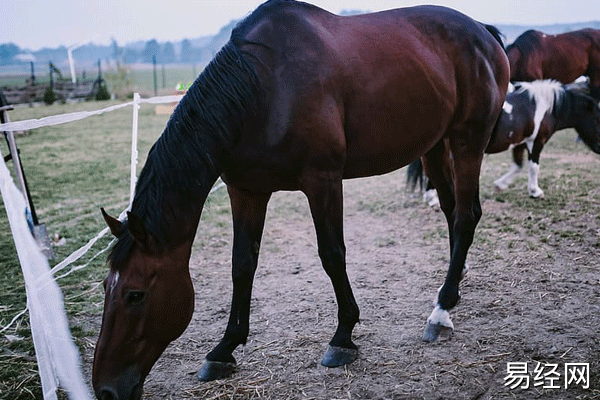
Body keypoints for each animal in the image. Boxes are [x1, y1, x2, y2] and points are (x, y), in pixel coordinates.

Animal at [91, 1, 508, 398]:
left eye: (135, 294)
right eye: (105, 288)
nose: (106, 389)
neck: (264, 87)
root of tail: (483, 33)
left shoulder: (322, 181)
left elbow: (332, 254)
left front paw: (342, 338)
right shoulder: (247, 191)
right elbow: (242, 264)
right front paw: (224, 349)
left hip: (467, 144)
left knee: (466, 216)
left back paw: (440, 312)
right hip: (435, 148)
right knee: (454, 212)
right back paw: (452, 287)